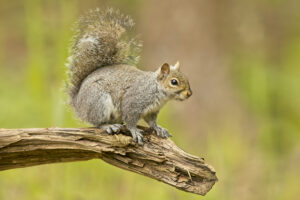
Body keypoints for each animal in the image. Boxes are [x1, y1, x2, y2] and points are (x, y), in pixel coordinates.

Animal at [65, 8, 192, 145]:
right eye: (174, 82)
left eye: (187, 79)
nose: (189, 94)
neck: (156, 89)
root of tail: (78, 103)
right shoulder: (133, 102)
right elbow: (130, 120)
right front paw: (135, 131)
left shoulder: (152, 111)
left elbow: (151, 122)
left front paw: (158, 128)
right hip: (98, 101)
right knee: (97, 122)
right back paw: (108, 126)